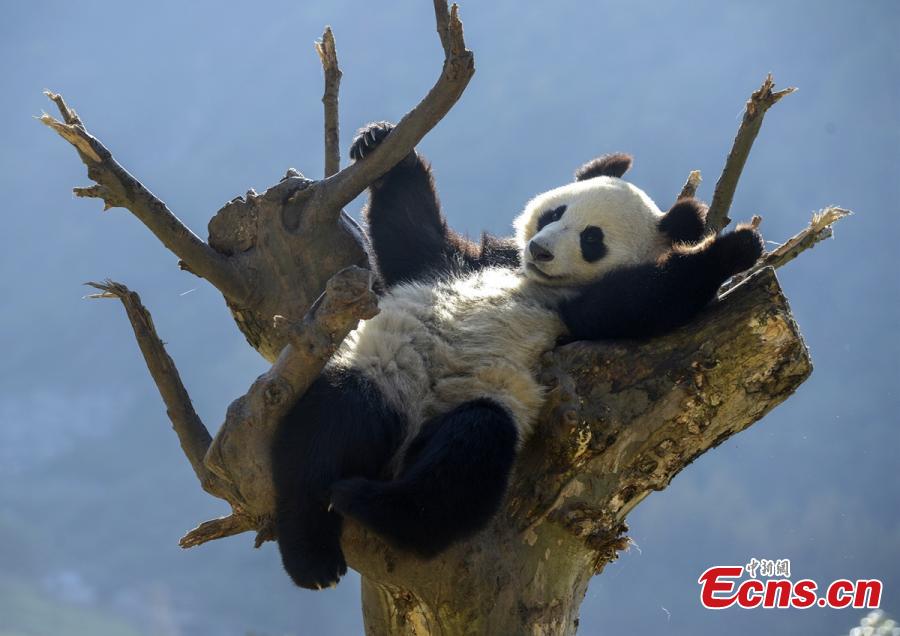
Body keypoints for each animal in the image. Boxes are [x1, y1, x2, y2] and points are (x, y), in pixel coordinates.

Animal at [271, 121, 763, 590]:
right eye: (555, 212)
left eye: (592, 239)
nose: (540, 249)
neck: (531, 280)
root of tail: (402, 446)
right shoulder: (473, 262)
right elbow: (411, 234)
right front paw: (378, 139)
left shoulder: (573, 311)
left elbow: (647, 301)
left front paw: (736, 248)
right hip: (387, 375)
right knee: (327, 428)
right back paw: (313, 556)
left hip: (480, 398)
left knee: (467, 456)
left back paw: (373, 507)